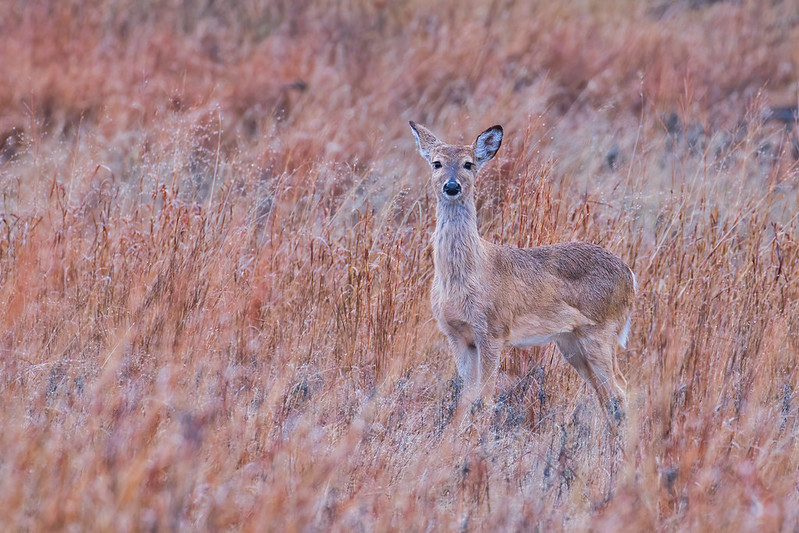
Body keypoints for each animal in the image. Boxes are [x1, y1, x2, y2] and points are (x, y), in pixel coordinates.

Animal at [410, 121, 636, 420]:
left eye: (469, 164)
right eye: (437, 163)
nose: (451, 186)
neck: (466, 276)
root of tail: (630, 276)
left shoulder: (493, 331)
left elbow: (484, 399)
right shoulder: (456, 335)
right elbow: (465, 399)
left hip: (601, 331)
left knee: (622, 389)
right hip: (571, 341)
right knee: (605, 395)